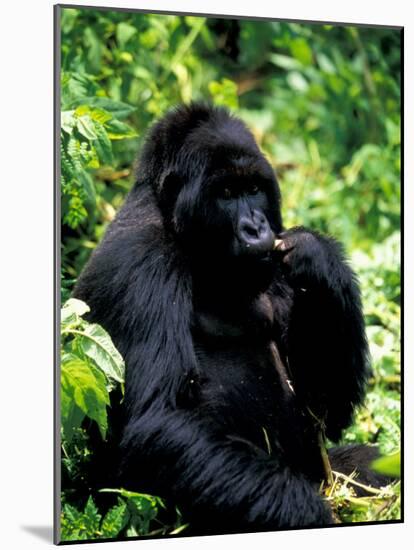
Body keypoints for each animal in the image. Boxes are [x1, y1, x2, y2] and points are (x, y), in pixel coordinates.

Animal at [74, 103, 384, 536]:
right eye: (225, 194)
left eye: (254, 189)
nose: (256, 227)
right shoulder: (140, 264)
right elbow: (157, 421)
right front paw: (308, 512)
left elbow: (325, 408)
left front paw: (318, 258)